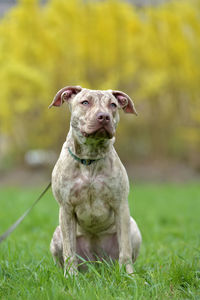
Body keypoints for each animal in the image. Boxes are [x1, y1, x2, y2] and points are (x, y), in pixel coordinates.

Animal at [49, 85, 141, 276]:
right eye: (85, 102)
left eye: (113, 105)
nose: (104, 116)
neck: (90, 158)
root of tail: (97, 263)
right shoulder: (66, 209)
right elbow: (69, 251)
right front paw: (71, 277)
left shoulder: (120, 205)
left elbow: (125, 248)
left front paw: (130, 276)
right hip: (56, 235)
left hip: (134, 228)